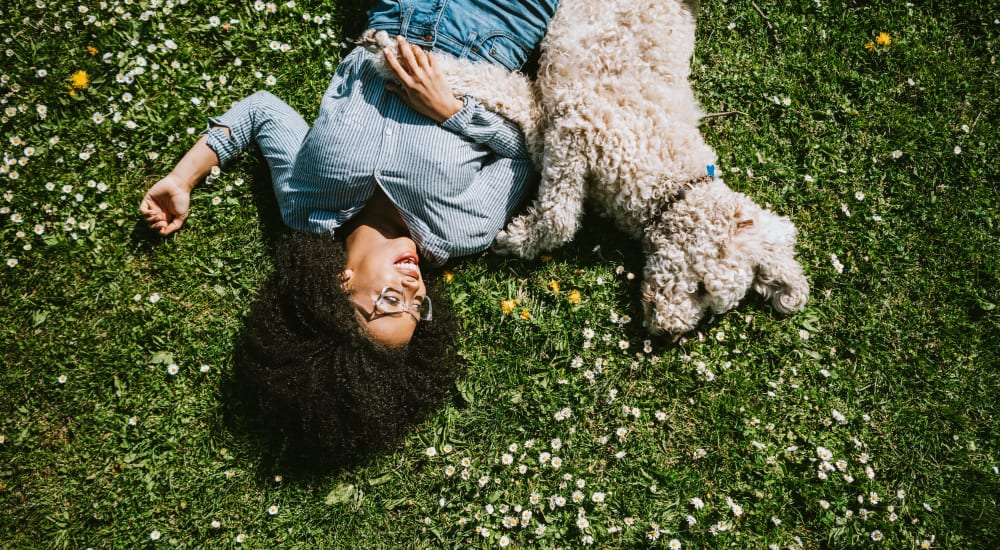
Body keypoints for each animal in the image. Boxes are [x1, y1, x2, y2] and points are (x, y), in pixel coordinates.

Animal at [494, 0, 812, 336]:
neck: (670, 180)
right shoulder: (579, 126)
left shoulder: (559, 128)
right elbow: (560, 220)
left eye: (710, 306)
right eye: (702, 288)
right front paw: (517, 238)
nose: (669, 334)